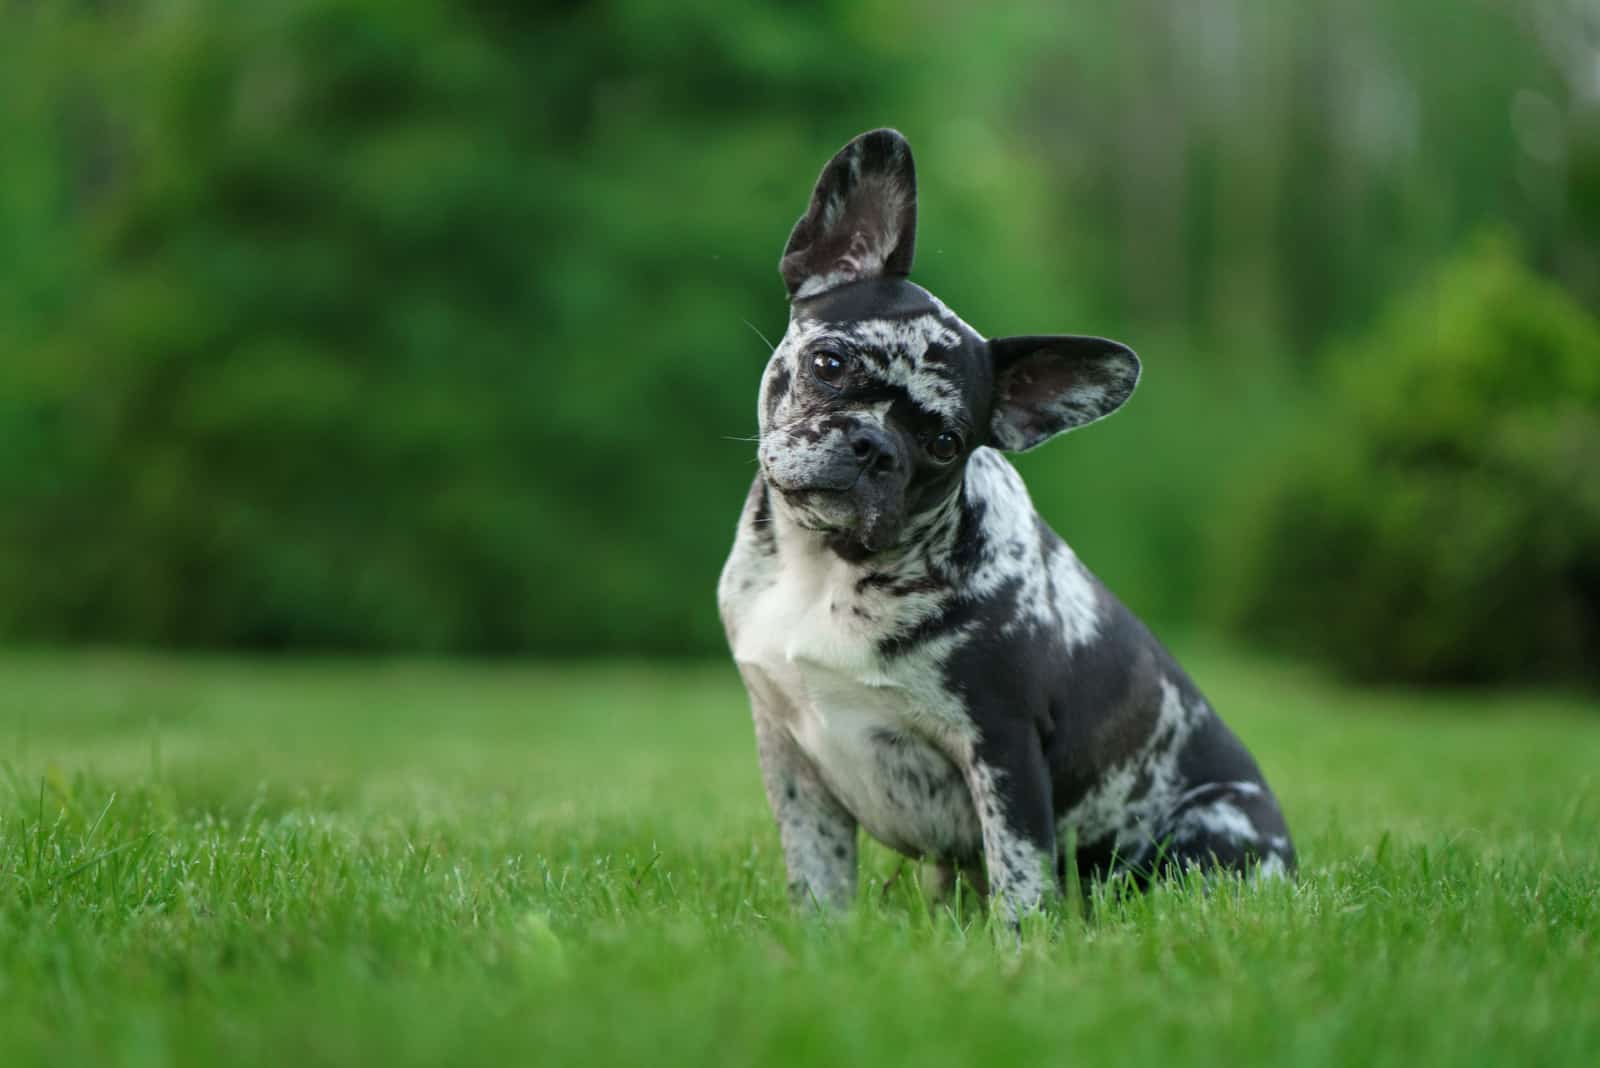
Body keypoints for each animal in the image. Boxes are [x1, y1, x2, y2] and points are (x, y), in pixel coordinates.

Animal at [720, 127, 1292, 920]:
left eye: (944, 444)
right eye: (828, 363)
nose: (874, 446)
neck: (826, 565)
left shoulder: (1004, 748)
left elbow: (1020, 878)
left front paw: (1022, 946)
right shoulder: (790, 757)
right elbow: (819, 877)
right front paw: (819, 940)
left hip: (1204, 833)